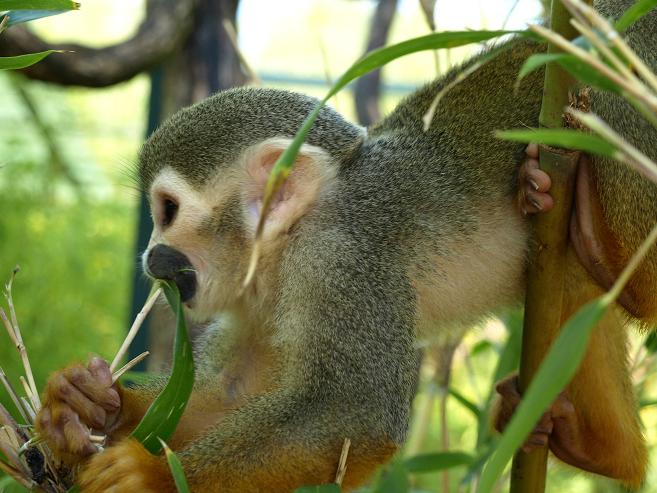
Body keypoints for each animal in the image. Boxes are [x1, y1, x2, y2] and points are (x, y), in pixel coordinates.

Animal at [33, 0, 656, 491]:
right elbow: (225, 399)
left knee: (608, 111)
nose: (152, 254)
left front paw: (150, 477)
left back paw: (602, 245)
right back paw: (600, 446)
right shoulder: (261, 301)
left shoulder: (340, 262)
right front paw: (89, 402)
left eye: (167, 211)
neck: (289, 245)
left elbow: (353, 416)